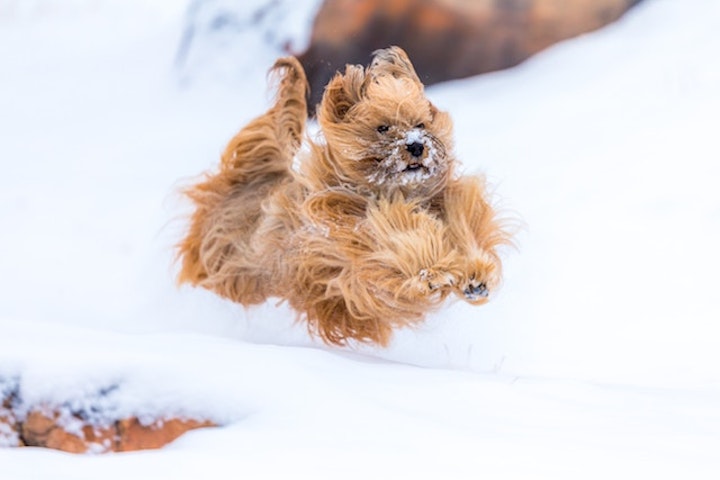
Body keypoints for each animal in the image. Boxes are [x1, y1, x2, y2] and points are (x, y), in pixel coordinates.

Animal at [176, 47, 510, 346]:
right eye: (382, 127)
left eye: (420, 124)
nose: (416, 145)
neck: (391, 191)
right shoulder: (357, 240)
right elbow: (402, 238)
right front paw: (432, 269)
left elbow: (463, 222)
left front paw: (474, 275)